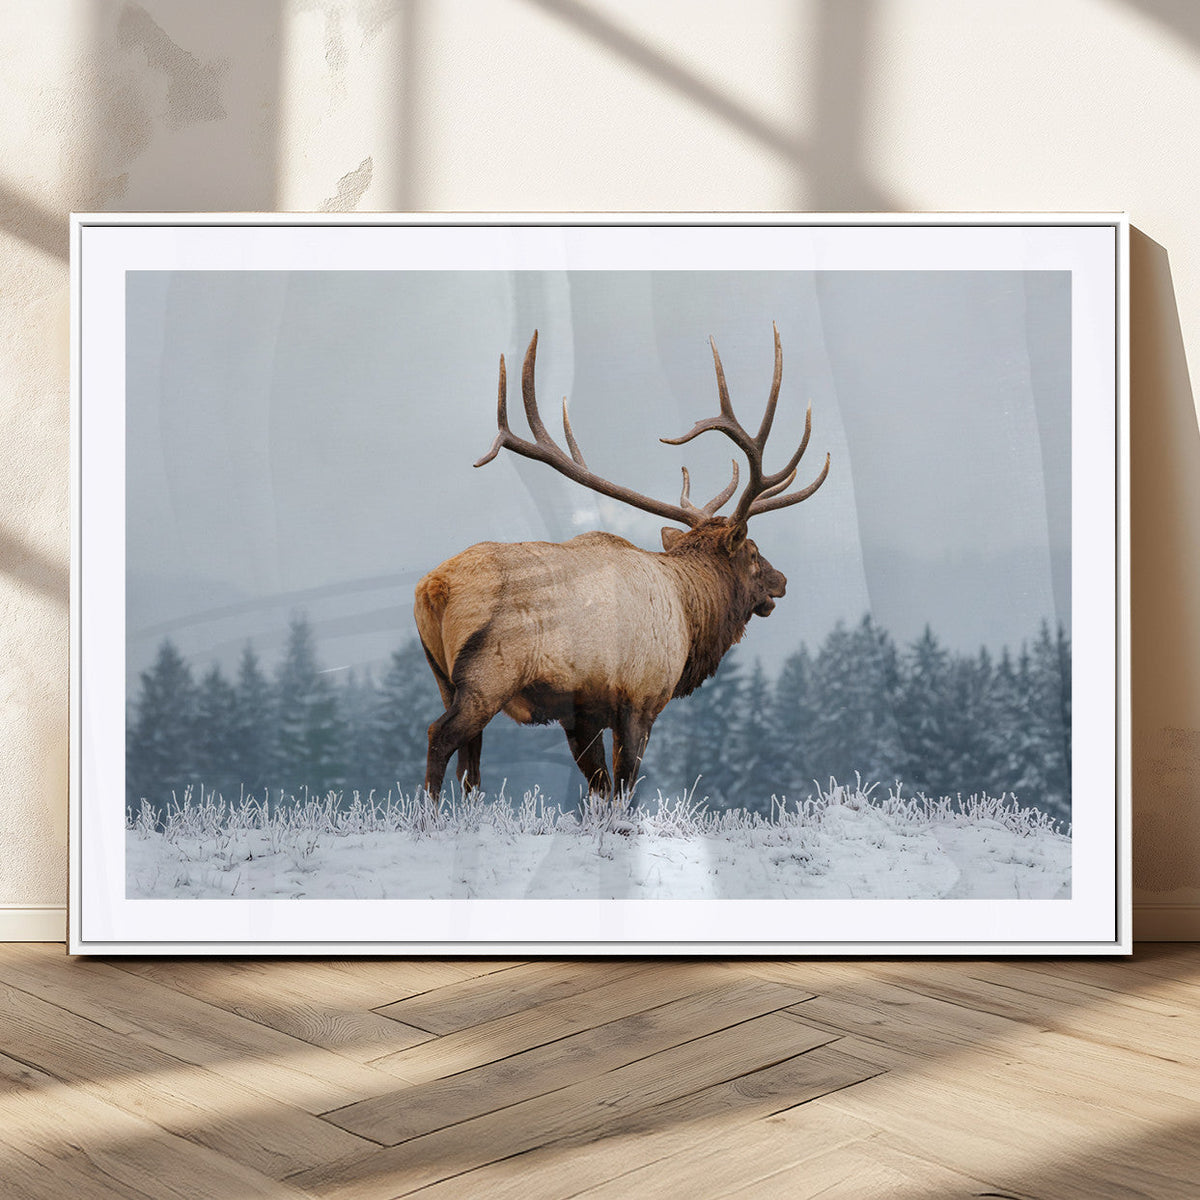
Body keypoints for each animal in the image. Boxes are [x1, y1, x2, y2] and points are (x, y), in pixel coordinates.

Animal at [414, 324, 830, 802]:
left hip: (442, 677)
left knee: (471, 764)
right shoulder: (640, 698)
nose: (782, 580)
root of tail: (434, 588)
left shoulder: (582, 714)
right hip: (487, 675)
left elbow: (599, 787)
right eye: (754, 552)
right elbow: (625, 788)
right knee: (440, 736)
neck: (690, 616)